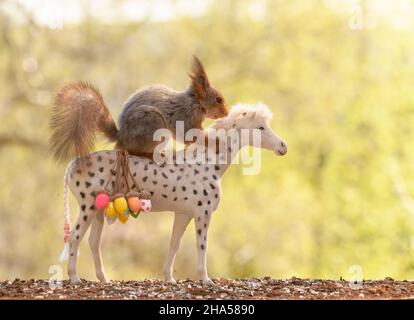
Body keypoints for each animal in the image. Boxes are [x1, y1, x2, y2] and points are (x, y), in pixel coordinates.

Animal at [50, 57, 230, 160]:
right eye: (218, 99)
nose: (227, 112)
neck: (196, 103)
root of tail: (121, 137)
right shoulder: (186, 118)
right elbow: (190, 136)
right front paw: (215, 142)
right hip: (153, 125)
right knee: (132, 151)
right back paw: (153, 154)